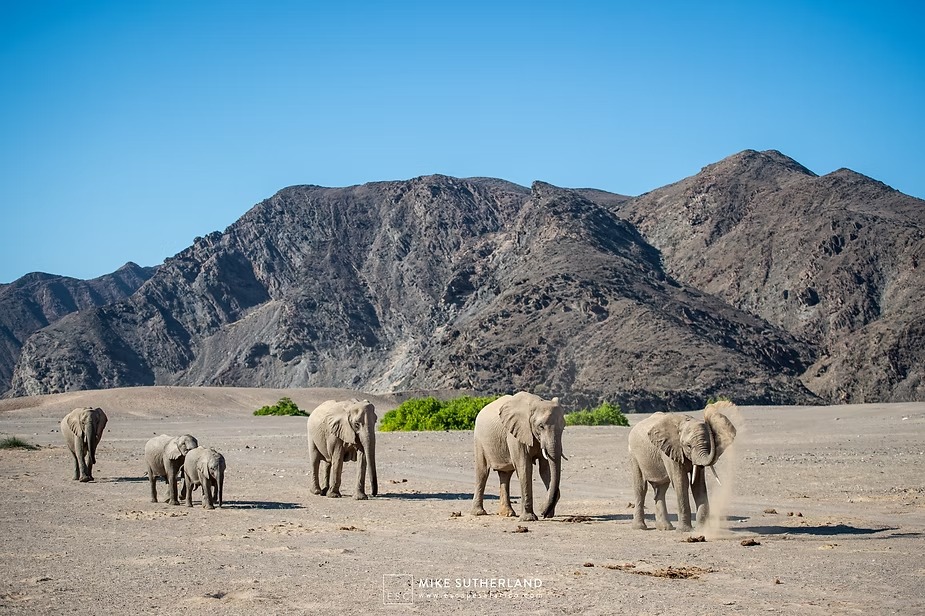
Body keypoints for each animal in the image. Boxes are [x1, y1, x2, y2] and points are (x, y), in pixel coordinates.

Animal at [471, 392, 566, 522]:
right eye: (541, 426)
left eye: (563, 427)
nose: (543, 513)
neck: (536, 403)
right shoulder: (516, 433)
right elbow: (524, 468)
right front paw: (529, 519)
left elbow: (545, 470)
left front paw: (546, 512)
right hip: (479, 439)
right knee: (483, 472)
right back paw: (479, 513)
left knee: (505, 474)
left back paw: (507, 514)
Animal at [628, 401, 737, 531]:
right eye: (688, 446)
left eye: (710, 444)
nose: (708, 410)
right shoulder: (670, 450)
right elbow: (681, 482)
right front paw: (684, 530)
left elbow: (698, 484)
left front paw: (701, 530)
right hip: (634, 455)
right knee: (641, 488)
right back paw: (640, 527)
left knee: (661, 489)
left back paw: (665, 528)